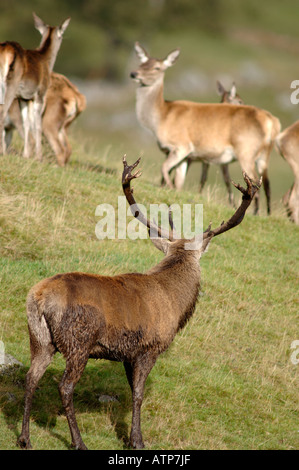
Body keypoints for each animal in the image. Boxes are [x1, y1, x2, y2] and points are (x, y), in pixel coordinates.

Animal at [0, 12, 70, 160]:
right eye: (61, 35)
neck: (46, 62)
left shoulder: (23, 98)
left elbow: (26, 123)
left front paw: (26, 155)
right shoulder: (39, 94)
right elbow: (37, 125)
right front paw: (39, 157)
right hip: (10, 85)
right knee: (2, 112)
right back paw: (3, 152)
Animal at [17, 156, 262, 450]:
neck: (175, 302)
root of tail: (39, 298)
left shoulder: (127, 353)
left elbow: (131, 389)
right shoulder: (150, 347)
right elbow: (138, 395)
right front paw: (137, 440)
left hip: (39, 338)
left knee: (31, 378)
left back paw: (24, 438)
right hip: (79, 342)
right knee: (65, 386)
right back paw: (78, 442)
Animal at [131, 42, 282, 215]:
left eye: (156, 67)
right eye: (141, 63)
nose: (134, 73)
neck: (161, 118)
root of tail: (272, 122)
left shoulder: (182, 146)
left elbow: (164, 169)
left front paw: (168, 190)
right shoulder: (185, 156)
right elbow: (179, 181)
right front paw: (175, 192)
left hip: (246, 151)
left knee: (256, 183)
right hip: (263, 156)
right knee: (266, 185)